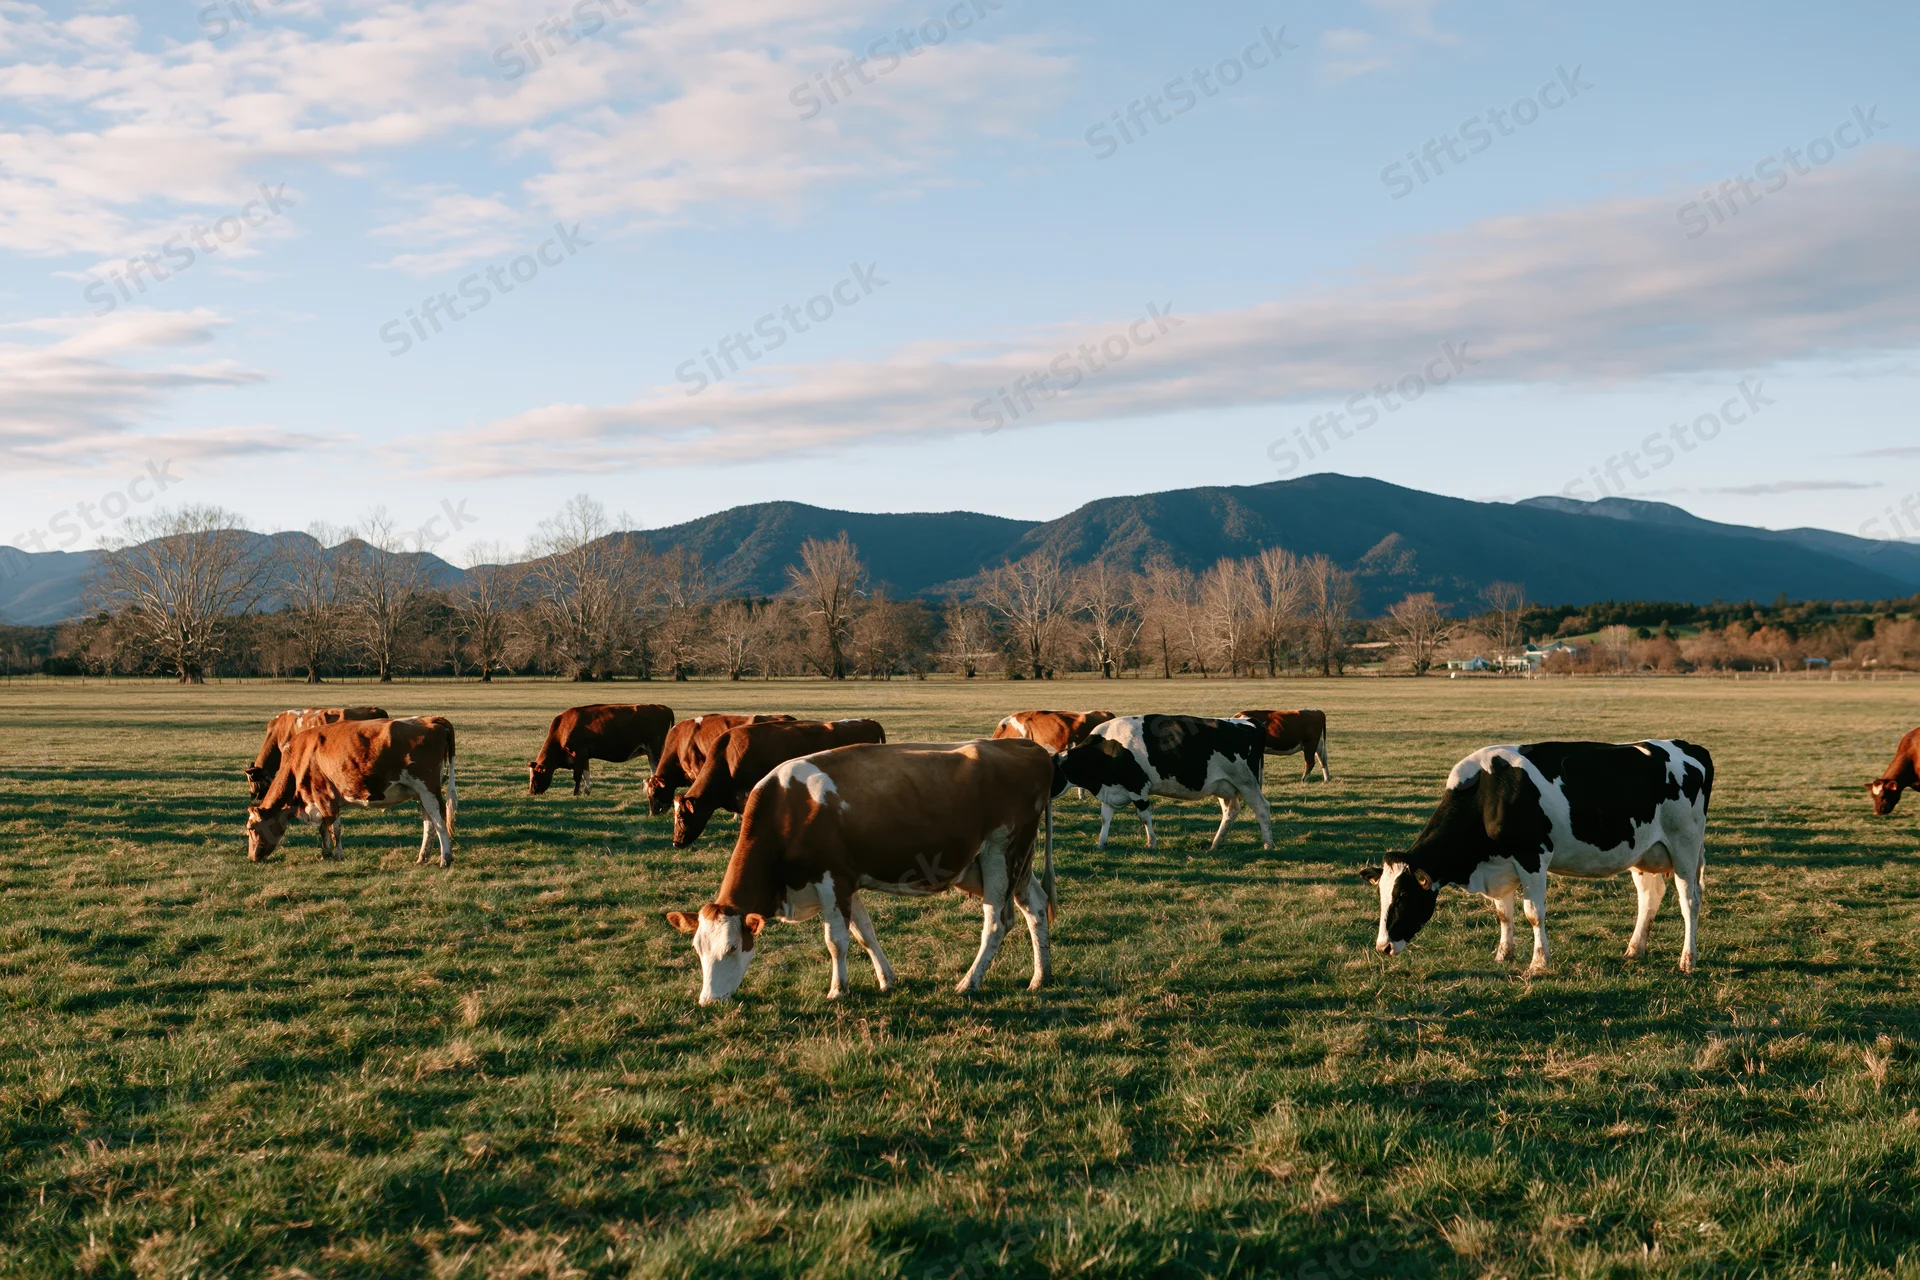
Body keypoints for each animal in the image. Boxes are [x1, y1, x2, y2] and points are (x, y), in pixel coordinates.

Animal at [245, 716, 458, 867]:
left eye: (251, 829)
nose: (251, 857)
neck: (300, 757)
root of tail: (431, 719)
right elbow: (324, 828)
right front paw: (325, 854)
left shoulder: (324, 795)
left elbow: (334, 827)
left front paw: (337, 855)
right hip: (421, 794)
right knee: (429, 823)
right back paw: (422, 857)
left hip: (428, 789)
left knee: (440, 821)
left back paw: (445, 858)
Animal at [527, 703, 674, 796]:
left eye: (535, 775)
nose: (532, 792)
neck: (563, 729)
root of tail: (663, 708)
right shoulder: (584, 756)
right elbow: (586, 774)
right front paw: (586, 791)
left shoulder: (579, 754)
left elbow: (577, 776)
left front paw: (576, 792)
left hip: (654, 750)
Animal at [666, 738, 1062, 1004]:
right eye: (698, 949)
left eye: (733, 947)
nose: (708, 1001)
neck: (789, 808)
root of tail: (1028, 748)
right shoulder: (848, 882)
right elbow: (864, 934)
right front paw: (887, 979)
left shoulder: (832, 881)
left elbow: (836, 941)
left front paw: (837, 989)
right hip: (1010, 864)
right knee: (1035, 907)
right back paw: (1040, 976)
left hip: (1001, 854)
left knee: (997, 923)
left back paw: (969, 982)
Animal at [1055, 714, 1272, 851]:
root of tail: (1249, 722)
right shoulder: (1111, 790)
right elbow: (1105, 818)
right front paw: (1101, 843)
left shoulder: (1138, 789)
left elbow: (1144, 817)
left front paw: (1151, 843)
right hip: (1224, 786)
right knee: (1230, 811)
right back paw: (1215, 844)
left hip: (1247, 782)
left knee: (1262, 807)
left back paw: (1268, 844)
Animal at [1363, 740, 1714, 975]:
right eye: (1381, 896)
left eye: (1404, 895)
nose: (1383, 947)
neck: (1488, 793)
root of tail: (1690, 748)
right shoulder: (1499, 866)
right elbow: (1503, 914)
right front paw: (1503, 955)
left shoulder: (1533, 858)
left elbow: (1533, 914)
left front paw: (1539, 962)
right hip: (1645, 852)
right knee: (1649, 899)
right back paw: (1634, 949)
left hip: (1685, 845)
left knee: (1689, 901)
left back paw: (1688, 959)